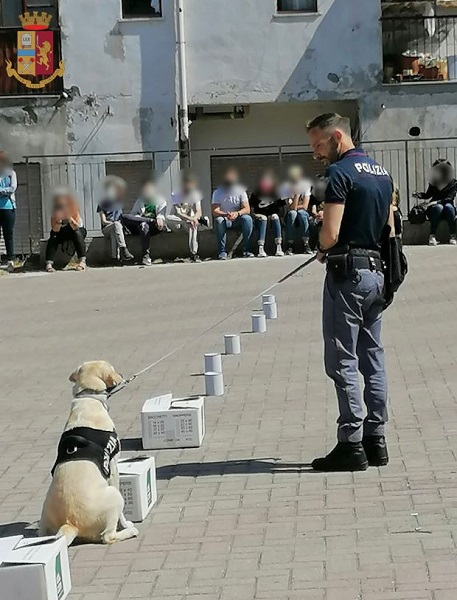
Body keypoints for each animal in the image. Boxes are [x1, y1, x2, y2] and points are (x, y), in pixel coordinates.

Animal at [39, 360, 138, 544]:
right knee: (108, 537)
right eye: (112, 367)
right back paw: (130, 531)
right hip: (115, 496)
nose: (121, 374)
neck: (89, 398)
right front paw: (126, 524)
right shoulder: (113, 466)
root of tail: (70, 523)